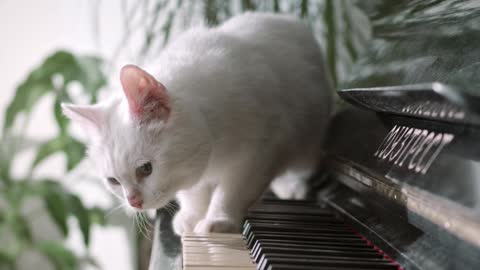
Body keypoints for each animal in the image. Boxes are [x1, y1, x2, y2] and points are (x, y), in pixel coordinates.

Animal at [62, 13, 332, 234]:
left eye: (146, 169)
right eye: (113, 181)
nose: (133, 202)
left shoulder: (260, 152)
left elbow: (233, 190)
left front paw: (219, 220)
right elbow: (193, 193)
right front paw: (192, 217)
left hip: (307, 142)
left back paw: (293, 186)